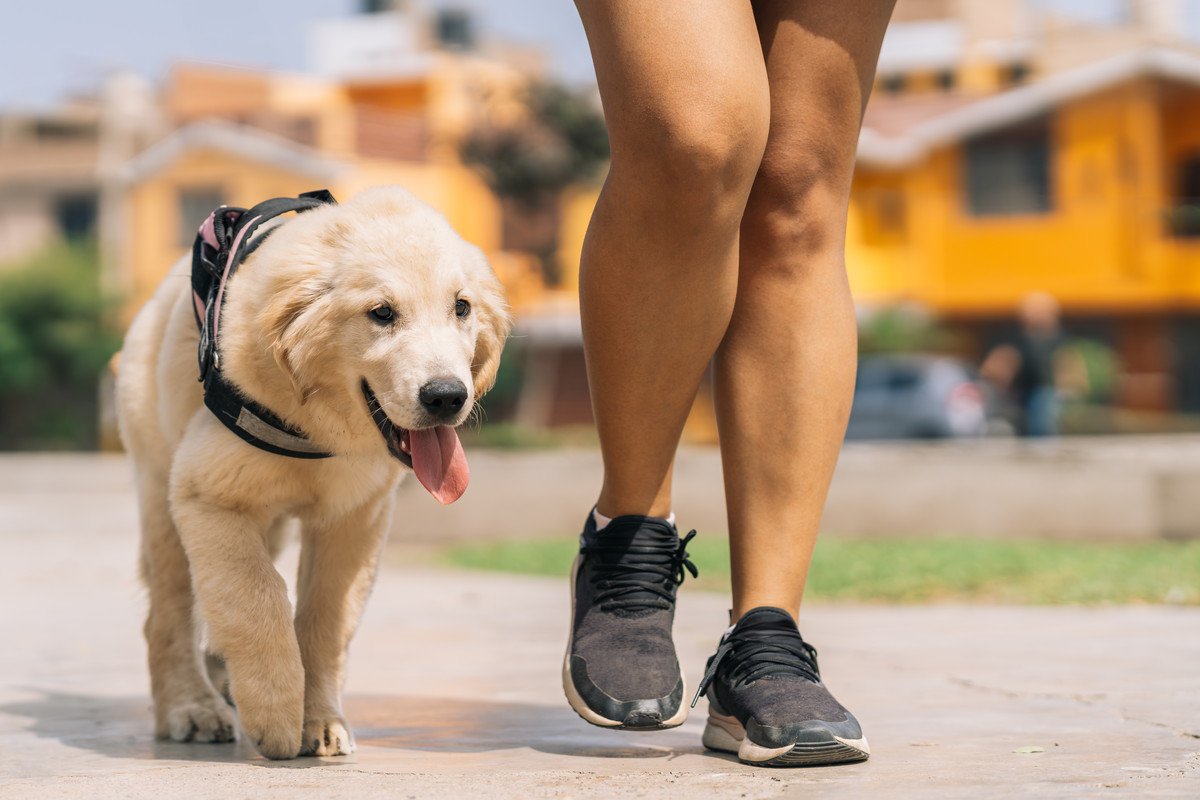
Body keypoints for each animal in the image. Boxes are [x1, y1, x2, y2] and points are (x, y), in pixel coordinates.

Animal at [112, 184, 506, 762]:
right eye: (381, 313)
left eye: (462, 307)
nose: (446, 397)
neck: (320, 428)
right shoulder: (208, 493)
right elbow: (254, 596)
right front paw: (275, 712)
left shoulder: (356, 516)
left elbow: (324, 621)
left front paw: (318, 721)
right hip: (160, 490)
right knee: (167, 612)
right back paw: (191, 706)